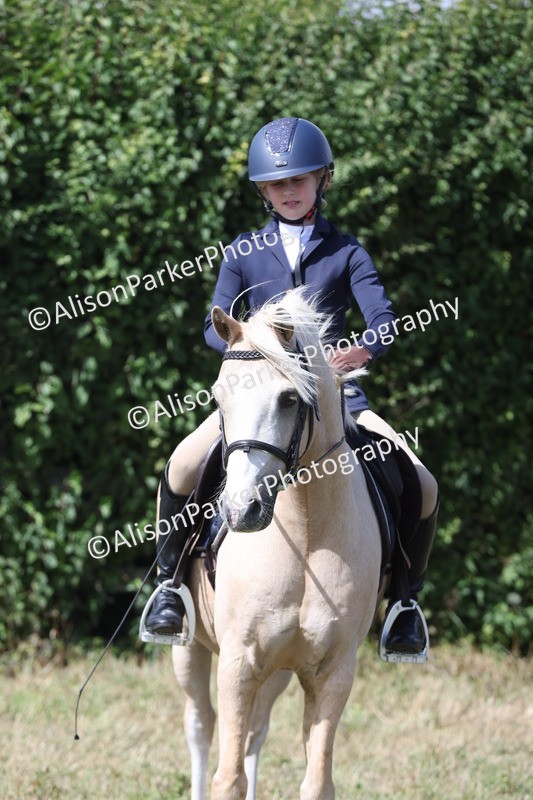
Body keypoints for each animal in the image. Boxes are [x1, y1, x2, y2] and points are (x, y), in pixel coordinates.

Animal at [171, 289, 382, 800]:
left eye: (289, 399)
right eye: (218, 398)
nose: (241, 510)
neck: (304, 531)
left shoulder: (333, 672)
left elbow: (317, 780)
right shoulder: (237, 663)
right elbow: (228, 777)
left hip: (280, 670)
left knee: (255, 732)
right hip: (189, 647)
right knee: (200, 725)